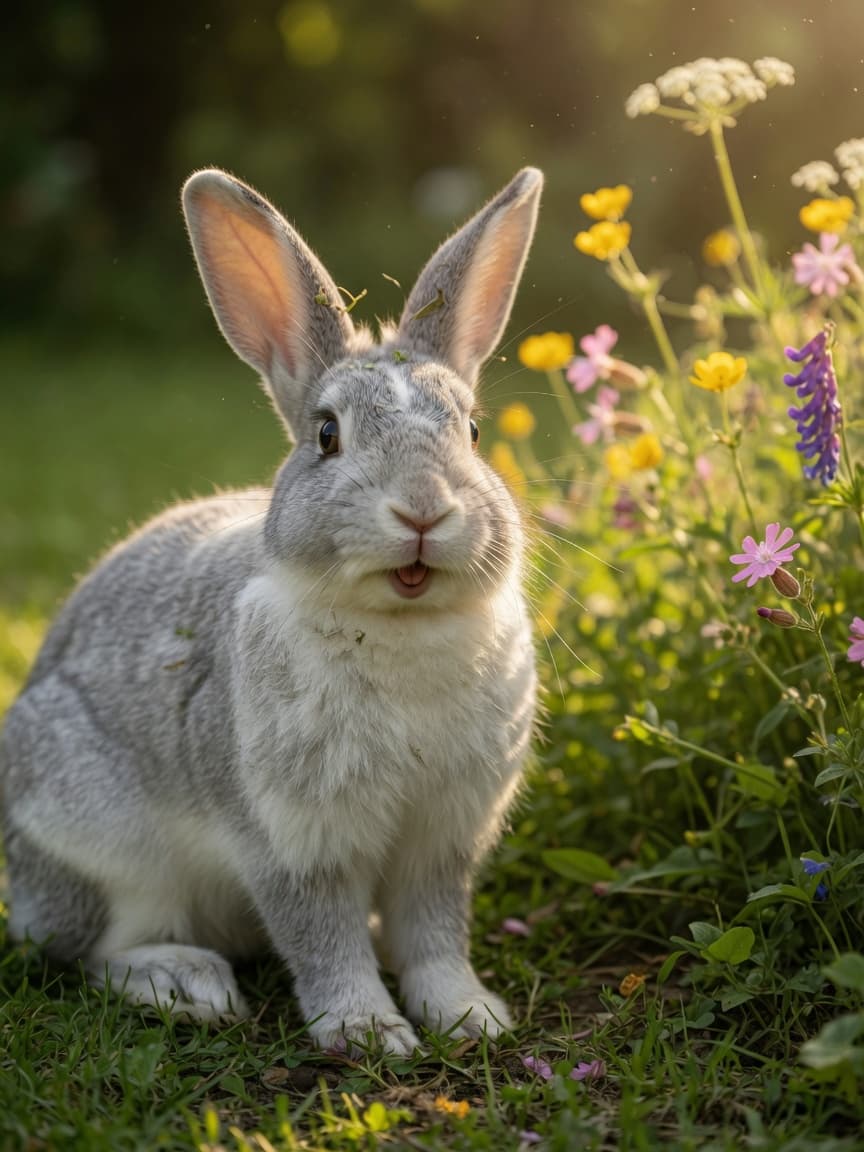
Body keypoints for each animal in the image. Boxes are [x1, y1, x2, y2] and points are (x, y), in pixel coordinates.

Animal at [0, 164, 543, 1055]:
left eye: (469, 429)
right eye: (326, 435)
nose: (424, 510)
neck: (399, 628)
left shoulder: (441, 838)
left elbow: (434, 934)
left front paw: (470, 1016)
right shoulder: (291, 838)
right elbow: (321, 937)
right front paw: (367, 1031)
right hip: (102, 852)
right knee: (83, 952)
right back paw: (185, 984)